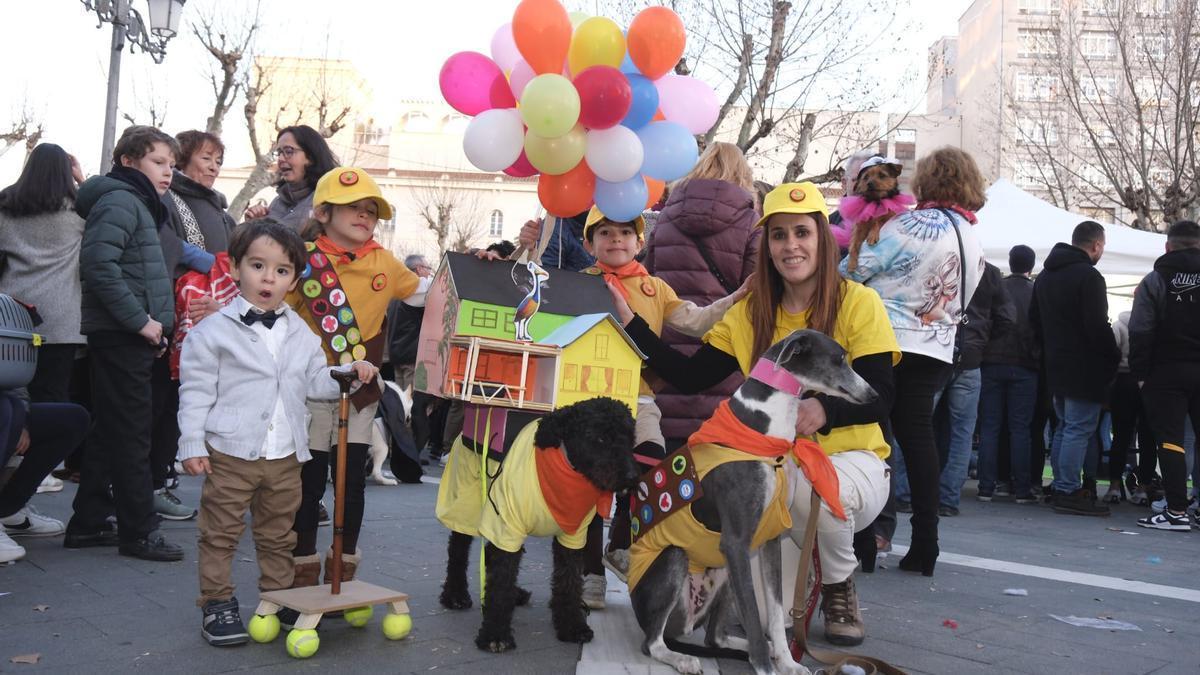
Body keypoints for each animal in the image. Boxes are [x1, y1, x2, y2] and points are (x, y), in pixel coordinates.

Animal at [439, 396, 643, 648]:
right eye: (600, 437)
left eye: (630, 438)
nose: (632, 477)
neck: (565, 471)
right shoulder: (508, 524)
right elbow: (502, 576)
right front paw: (496, 634)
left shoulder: (571, 537)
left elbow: (569, 581)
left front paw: (572, 627)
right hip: (467, 502)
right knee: (458, 548)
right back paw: (455, 596)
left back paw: (515, 594)